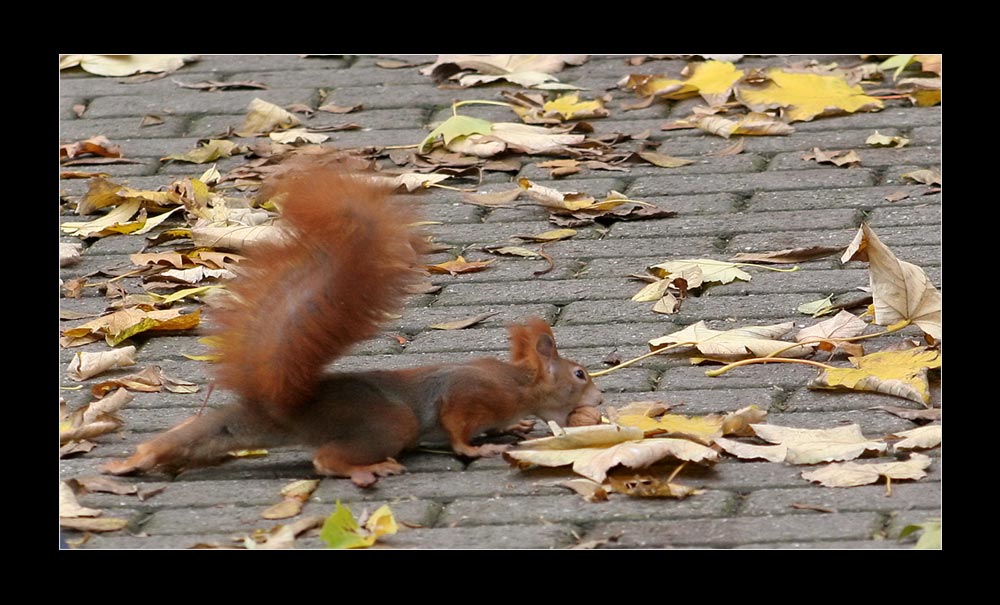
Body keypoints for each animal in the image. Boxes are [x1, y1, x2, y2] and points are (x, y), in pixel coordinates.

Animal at [101, 155, 600, 486]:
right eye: (579, 373)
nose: (599, 396)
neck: (518, 384)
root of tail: (286, 408)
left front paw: (513, 428)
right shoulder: (469, 395)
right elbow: (458, 427)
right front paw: (481, 446)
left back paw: (135, 460)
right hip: (388, 423)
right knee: (327, 460)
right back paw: (369, 468)